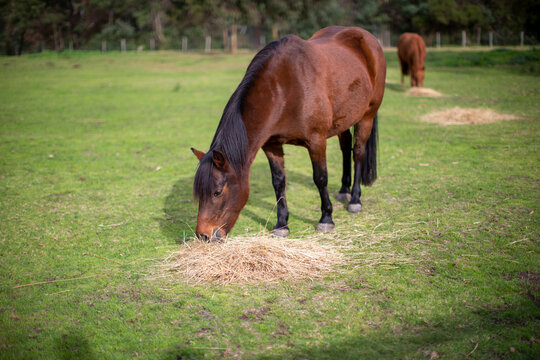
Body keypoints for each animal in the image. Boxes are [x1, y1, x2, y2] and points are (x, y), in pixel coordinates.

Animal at [192, 25, 386, 240]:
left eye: (217, 192)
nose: (203, 235)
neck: (283, 90)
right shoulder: (272, 145)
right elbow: (278, 182)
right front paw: (281, 224)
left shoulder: (316, 141)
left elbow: (320, 178)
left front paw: (326, 218)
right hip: (342, 119)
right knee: (346, 147)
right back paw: (344, 191)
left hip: (367, 115)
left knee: (358, 152)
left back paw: (354, 200)